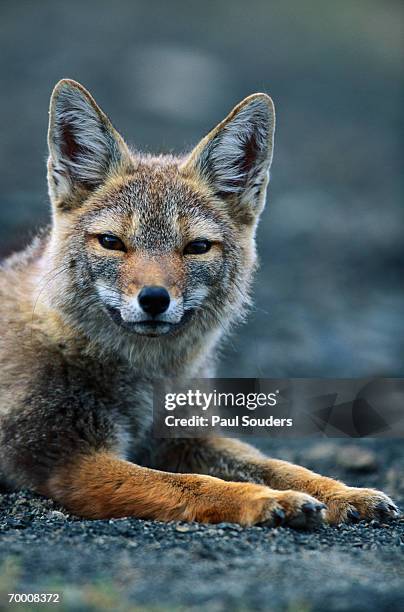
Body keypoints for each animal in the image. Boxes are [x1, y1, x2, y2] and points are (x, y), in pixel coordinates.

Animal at [0, 79, 400, 528]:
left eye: (197, 247)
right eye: (111, 242)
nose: (154, 299)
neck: (148, 379)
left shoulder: (186, 438)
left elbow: (282, 466)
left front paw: (344, 492)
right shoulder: (69, 459)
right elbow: (193, 484)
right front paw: (266, 500)